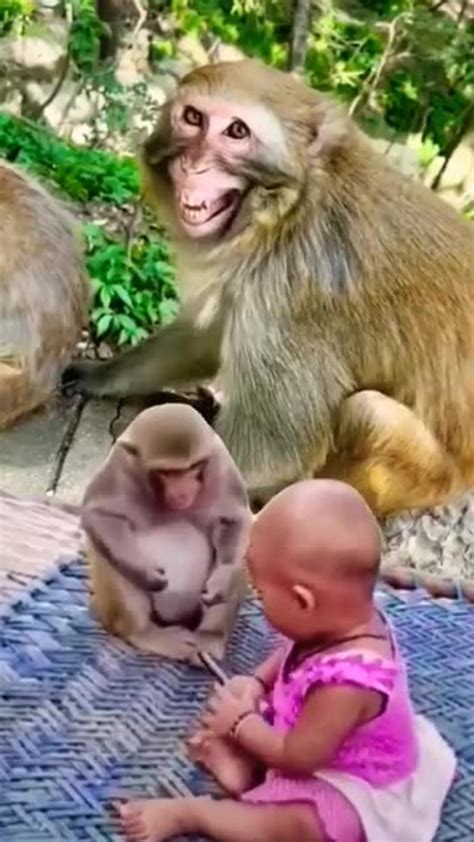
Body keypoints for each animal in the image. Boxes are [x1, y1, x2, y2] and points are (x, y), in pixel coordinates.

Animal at [62, 59, 474, 518]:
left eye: (236, 131)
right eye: (193, 118)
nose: (194, 166)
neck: (286, 212)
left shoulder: (294, 296)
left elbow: (267, 449)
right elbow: (205, 340)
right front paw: (101, 374)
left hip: (427, 479)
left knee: (368, 414)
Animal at [81, 403, 251, 662]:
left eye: (194, 467)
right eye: (167, 472)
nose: (182, 491)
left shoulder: (220, 463)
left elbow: (236, 519)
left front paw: (221, 580)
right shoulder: (118, 467)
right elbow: (97, 514)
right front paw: (146, 573)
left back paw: (210, 637)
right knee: (108, 560)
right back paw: (145, 633)